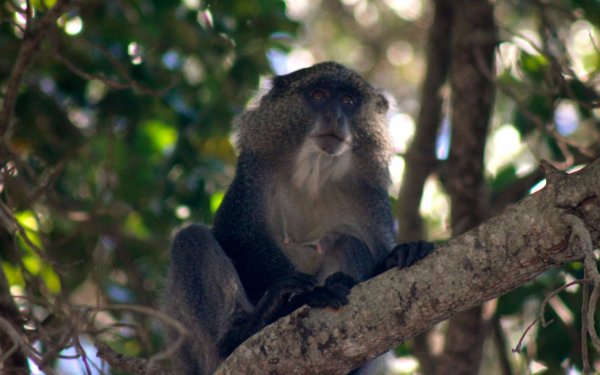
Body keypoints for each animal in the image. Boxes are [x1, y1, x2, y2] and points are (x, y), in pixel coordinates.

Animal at [164, 61, 434, 374]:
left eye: (348, 101)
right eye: (318, 96)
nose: (335, 117)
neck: (314, 174)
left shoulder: (370, 196)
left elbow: (378, 254)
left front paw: (397, 256)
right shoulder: (252, 175)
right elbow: (236, 238)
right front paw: (293, 300)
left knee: (349, 242)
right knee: (191, 239)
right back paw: (244, 330)